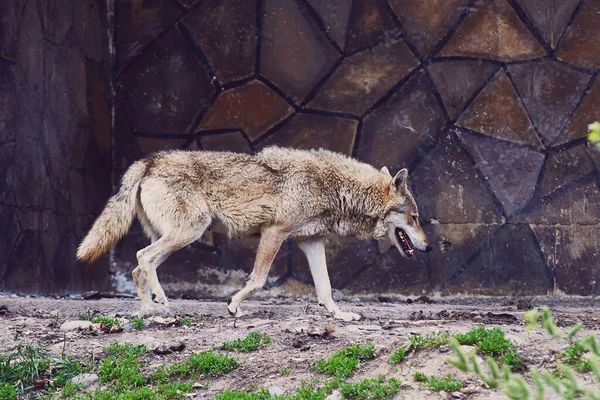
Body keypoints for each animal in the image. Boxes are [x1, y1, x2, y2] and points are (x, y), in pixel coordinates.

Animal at [76, 147, 432, 322]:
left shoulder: (310, 241)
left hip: (179, 238)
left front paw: (341, 315)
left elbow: (326, 290)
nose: (428, 248)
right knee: (141, 258)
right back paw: (160, 302)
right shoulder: (275, 233)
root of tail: (149, 161)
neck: (336, 188)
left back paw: (152, 313)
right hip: (187, 234)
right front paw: (234, 306)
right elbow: (258, 280)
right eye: (415, 218)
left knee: (138, 267)